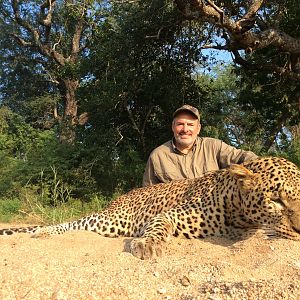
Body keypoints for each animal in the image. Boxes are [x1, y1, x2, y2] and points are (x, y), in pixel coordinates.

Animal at [0, 156, 300, 258]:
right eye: (275, 199)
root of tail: (122, 196)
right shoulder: (170, 214)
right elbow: (158, 226)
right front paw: (147, 244)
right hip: (112, 221)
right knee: (75, 223)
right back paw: (42, 232)